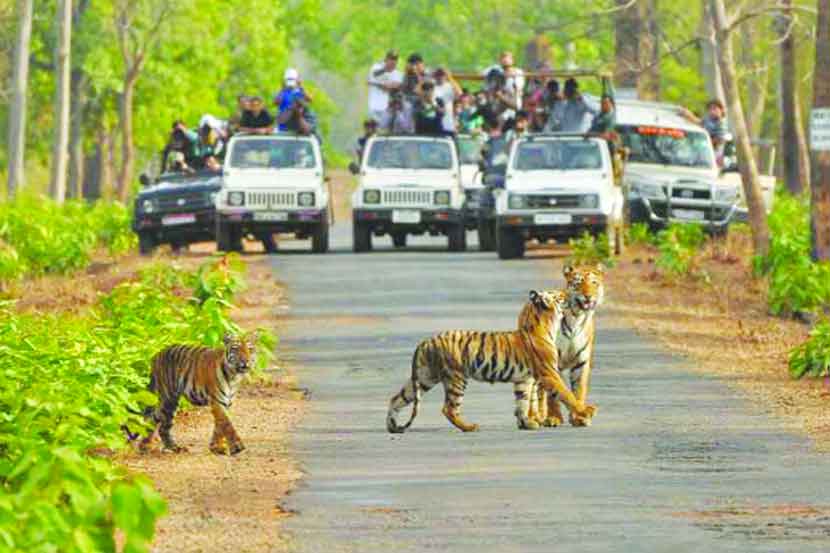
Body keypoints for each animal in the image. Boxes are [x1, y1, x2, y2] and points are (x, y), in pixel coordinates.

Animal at [125, 332, 256, 452]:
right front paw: (237, 446)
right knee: (152, 419)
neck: (234, 375)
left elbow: (219, 425)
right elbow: (226, 423)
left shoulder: (226, 402)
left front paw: (216, 447)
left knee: (162, 426)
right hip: (165, 398)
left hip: (171, 403)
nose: (246, 361)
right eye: (236, 348)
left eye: (250, 349)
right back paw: (145, 446)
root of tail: (157, 354)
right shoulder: (217, 401)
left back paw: (173, 447)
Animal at [386, 286, 600, 434]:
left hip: (424, 377)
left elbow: (522, 401)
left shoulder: (524, 379)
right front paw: (586, 411)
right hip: (456, 378)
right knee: (449, 408)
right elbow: (567, 394)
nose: (568, 292)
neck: (544, 323)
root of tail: (426, 341)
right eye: (559, 295)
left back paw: (392, 426)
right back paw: (469, 427)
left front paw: (526, 423)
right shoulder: (549, 373)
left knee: (397, 398)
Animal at [532, 266, 604, 430]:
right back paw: (540, 416)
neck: (577, 317)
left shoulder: (581, 362)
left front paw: (579, 418)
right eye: (578, 283)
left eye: (594, 283)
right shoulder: (552, 362)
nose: (588, 296)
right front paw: (553, 418)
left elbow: (579, 390)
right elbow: (554, 394)